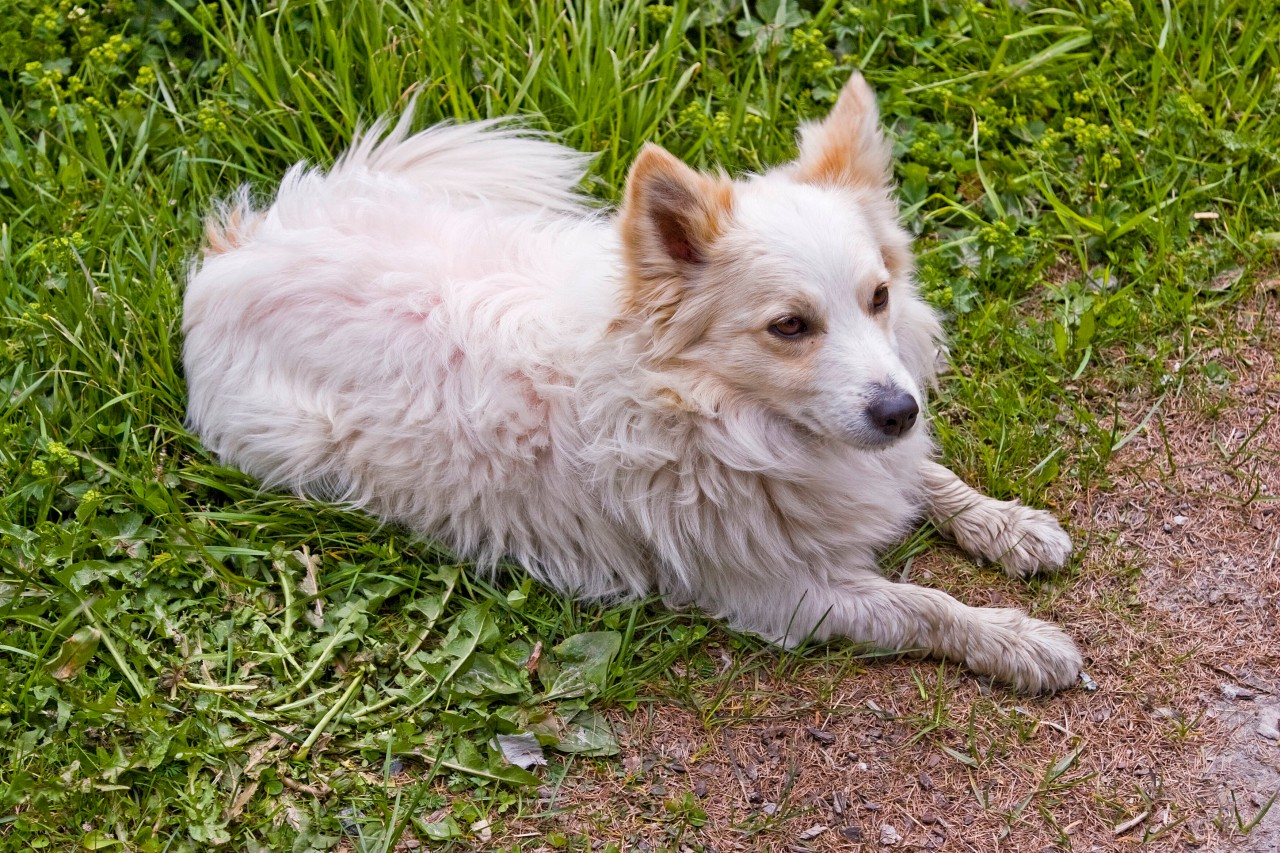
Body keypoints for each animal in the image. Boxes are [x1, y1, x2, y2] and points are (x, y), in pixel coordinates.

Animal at [185, 74, 1085, 691]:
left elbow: (929, 476)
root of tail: (242, 244)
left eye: (879, 297)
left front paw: (1005, 525)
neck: (710, 408)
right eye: (790, 327)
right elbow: (924, 606)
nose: (899, 409)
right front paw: (1017, 640)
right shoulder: (789, 592)